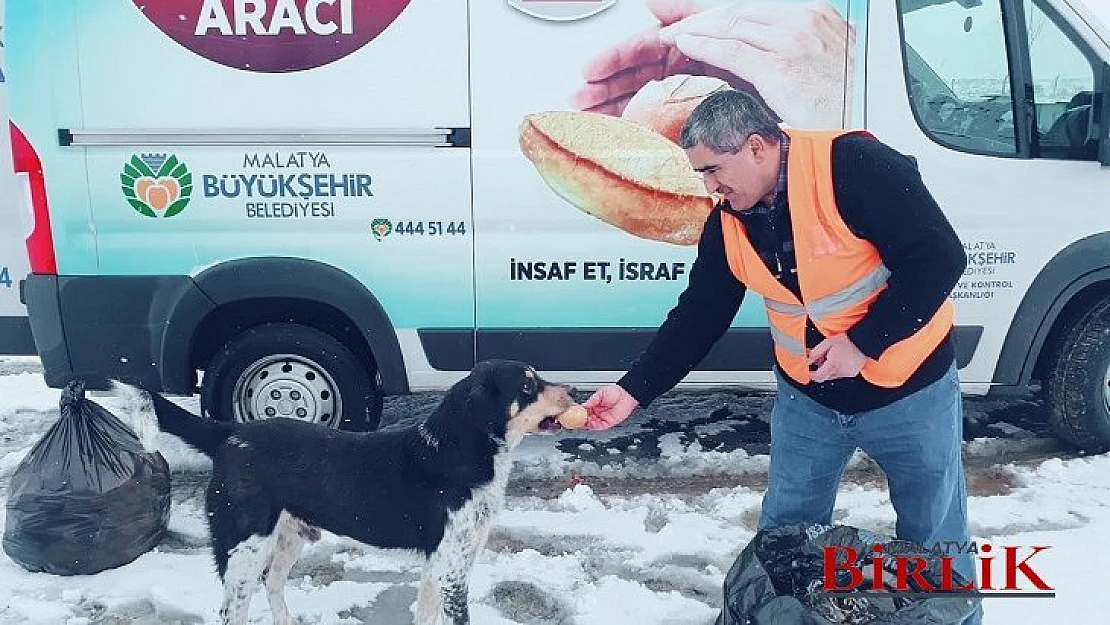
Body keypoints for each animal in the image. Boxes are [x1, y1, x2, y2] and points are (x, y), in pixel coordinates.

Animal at [114, 359, 572, 621]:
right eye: (527, 384)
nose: (573, 391)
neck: (457, 448)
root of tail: (229, 434)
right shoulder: (452, 570)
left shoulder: (442, 564)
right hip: (244, 547)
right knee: (232, 610)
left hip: (287, 538)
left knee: (272, 584)